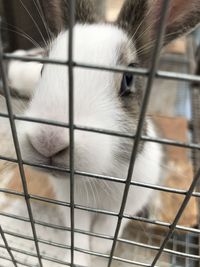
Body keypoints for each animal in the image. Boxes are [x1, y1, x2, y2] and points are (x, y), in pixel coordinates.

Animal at [1, 0, 200, 267]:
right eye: (43, 68)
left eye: (128, 79)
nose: (48, 142)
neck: (99, 176)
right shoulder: (72, 205)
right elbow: (78, 233)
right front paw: (77, 257)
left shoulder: (132, 198)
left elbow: (110, 223)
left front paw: (100, 245)